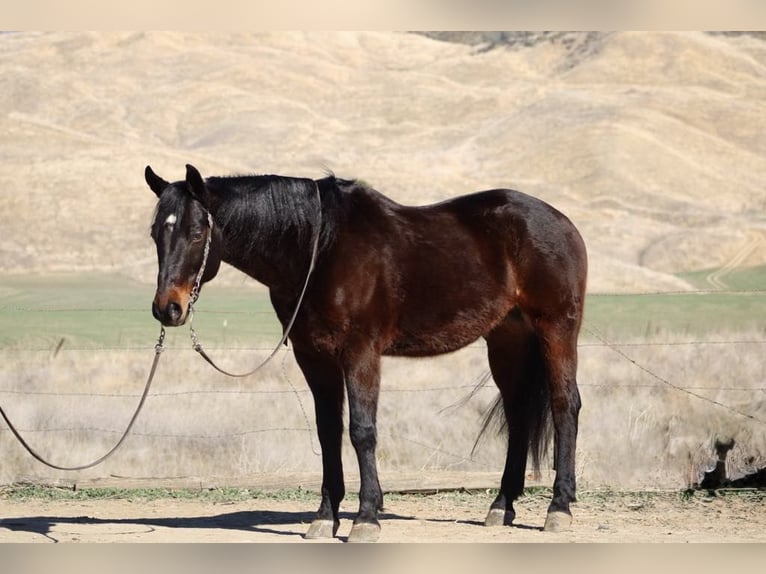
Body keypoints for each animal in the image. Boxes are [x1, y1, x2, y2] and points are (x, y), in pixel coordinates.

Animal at [146, 163, 588, 544]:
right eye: (155, 233)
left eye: (196, 232)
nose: (168, 309)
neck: (319, 250)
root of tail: (562, 222)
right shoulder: (314, 357)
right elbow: (329, 432)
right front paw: (325, 517)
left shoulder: (360, 353)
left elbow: (362, 431)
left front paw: (366, 517)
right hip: (506, 339)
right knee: (518, 415)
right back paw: (501, 505)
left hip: (556, 329)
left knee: (565, 405)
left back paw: (559, 508)